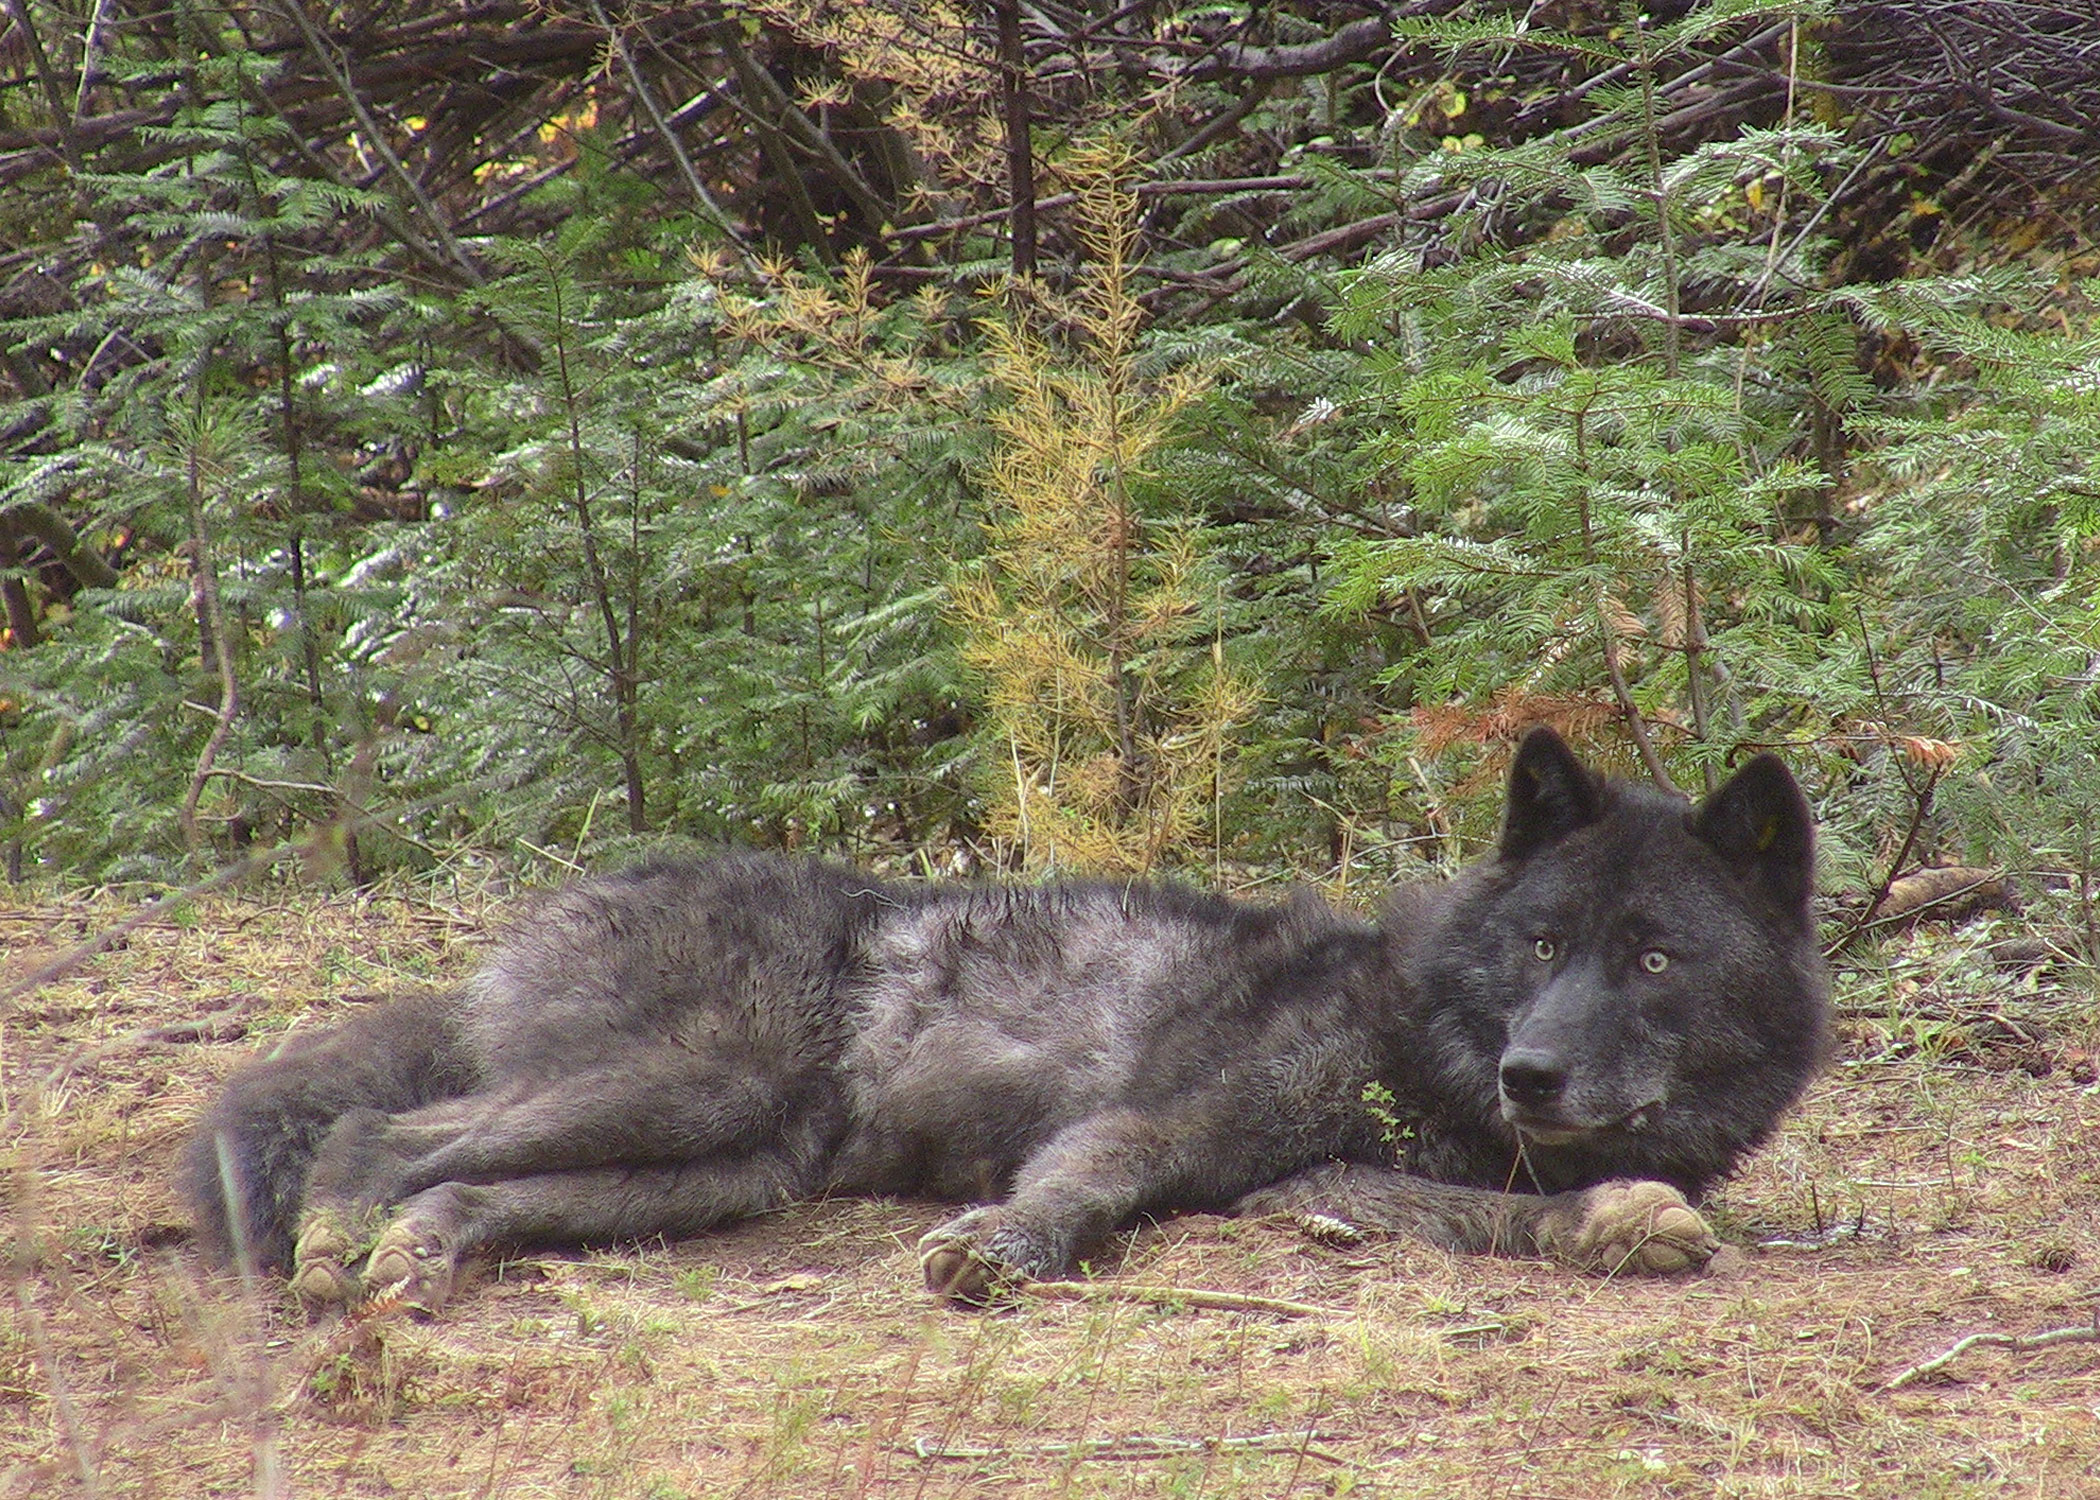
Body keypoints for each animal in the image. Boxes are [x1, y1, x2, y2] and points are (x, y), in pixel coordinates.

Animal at [184, 731, 1822, 1302]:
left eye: (1653, 960)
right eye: (1544, 942)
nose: (1534, 1071)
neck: (1434, 1021)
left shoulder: (1316, 1183)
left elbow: (1513, 1215)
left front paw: (1620, 1219)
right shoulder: (1165, 1124)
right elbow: (1089, 1180)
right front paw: (1004, 1248)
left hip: (714, 1170)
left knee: (455, 1186)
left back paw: (415, 1265)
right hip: (692, 1092)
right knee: (378, 1127)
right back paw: (331, 1258)